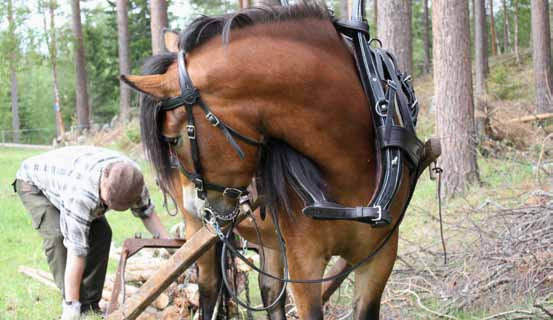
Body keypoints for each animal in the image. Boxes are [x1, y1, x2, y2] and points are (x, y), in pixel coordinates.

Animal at [124, 3, 432, 320]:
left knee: (270, 290)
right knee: (209, 287)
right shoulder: (304, 263)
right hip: (198, 230)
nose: (199, 207)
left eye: (173, 140)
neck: (354, 158)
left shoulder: (379, 256)